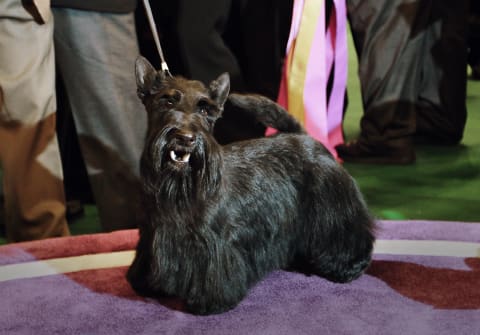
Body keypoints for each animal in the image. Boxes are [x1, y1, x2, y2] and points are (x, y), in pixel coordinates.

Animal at [126, 56, 376, 316]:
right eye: (166, 101)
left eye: (205, 110)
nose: (186, 138)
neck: (179, 188)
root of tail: (305, 138)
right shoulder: (151, 234)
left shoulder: (214, 243)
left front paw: (210, 302)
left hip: (333, 209)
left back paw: (349, 266)